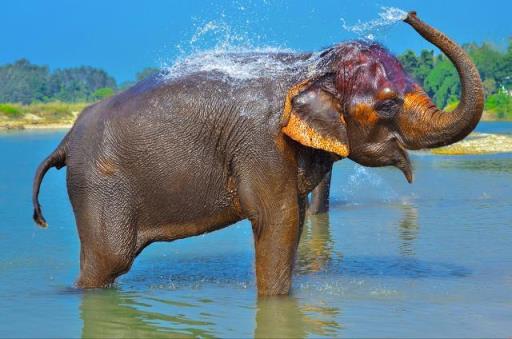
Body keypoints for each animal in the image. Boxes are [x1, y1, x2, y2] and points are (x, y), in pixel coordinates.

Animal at [33, 11, 484, 296]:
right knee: (110, 259)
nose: (408, 13)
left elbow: (294, 218)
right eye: (388, 105)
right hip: (99, 185)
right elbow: (277, 218)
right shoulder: (260, 143)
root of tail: (65, 140)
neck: (307, 67)